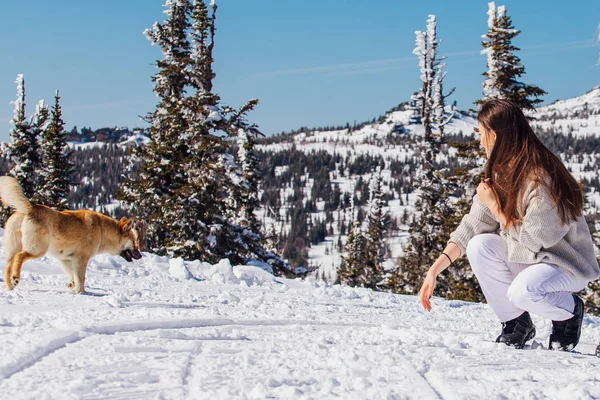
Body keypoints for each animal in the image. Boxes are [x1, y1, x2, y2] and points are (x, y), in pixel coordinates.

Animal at [0, 177, 145, 292]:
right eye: (133, 241)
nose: (140, 256)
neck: (102, 231)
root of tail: (31, 208)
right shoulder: (81, 259)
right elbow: (81, 278)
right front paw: (81, 293)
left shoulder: (66, 259)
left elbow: (73, 275)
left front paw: (72, 285)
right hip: (38, 249)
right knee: (20, 256)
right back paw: (15, 278)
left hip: (15, 247)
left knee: (8, 265)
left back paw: (10, 285)